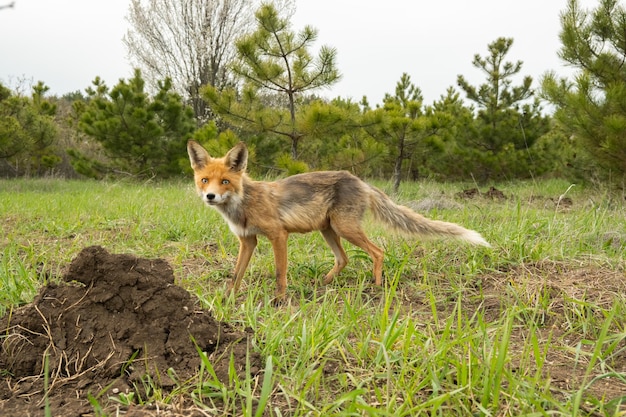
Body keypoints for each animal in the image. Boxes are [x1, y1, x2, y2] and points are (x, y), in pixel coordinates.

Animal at [185, 141, 488, 300]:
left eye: (225, 181)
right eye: (205, 180)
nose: (210, 196)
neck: (243, 204)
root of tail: (361, 181)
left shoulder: (278, 235)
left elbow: (280, 272)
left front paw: (280, 301)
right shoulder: (247, 240)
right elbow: (236, 274)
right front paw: (227, 298)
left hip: (345, 228)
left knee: (378, 252)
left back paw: (376, 288)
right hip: (329, 231)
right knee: (344, 259)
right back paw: (323, 284)